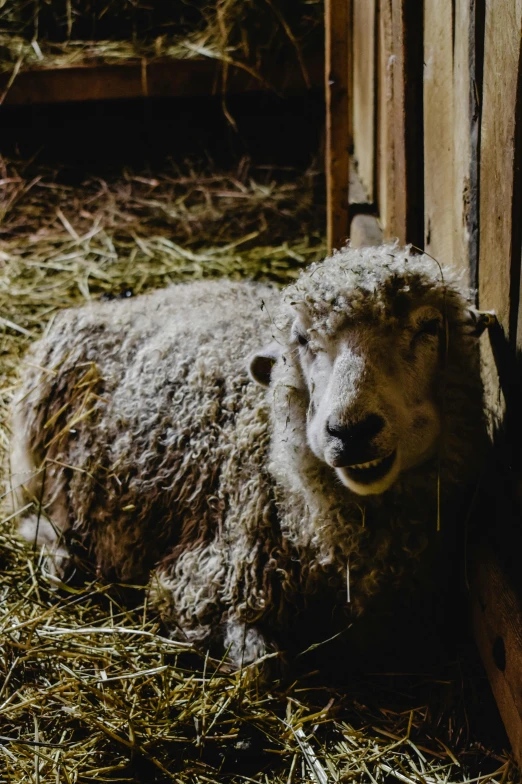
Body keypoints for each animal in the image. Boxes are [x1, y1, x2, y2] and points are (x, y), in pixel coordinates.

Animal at [9, 245, 488, 668]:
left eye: (428, 328)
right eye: (301, 339)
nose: (350, 431)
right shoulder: (202, 578)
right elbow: (259, 664)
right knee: (37, 516)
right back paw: (61, 560)